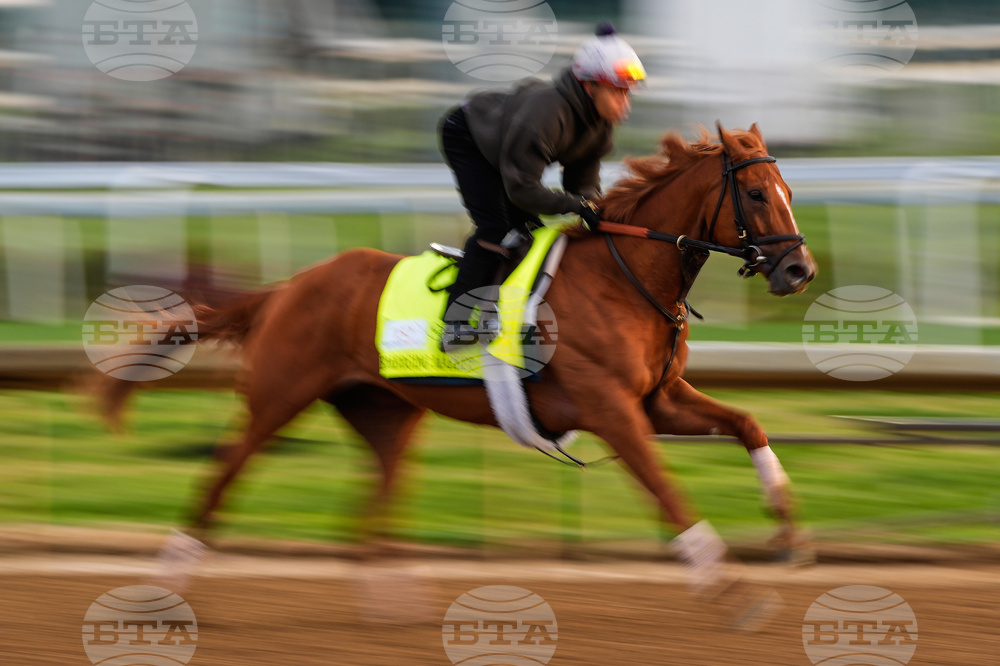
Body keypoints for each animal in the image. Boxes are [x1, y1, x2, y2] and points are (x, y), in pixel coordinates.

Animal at [179, 123, 817, 589]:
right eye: (756, 194)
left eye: (789, 194)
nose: (799, 270)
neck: (623, 276)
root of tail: (286, 288)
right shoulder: (610, 408)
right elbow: (663, 486)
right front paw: (723, 581)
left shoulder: (657, 400)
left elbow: (747, 423)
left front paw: (787, 526)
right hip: (278, 394)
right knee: (223, 472)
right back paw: (178, 576)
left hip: (385, 411)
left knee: (366, 517)